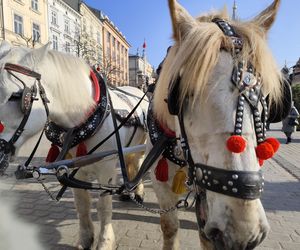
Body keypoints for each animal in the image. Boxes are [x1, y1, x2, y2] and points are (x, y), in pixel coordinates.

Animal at [0, 40, 149, 249]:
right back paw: (128, 192)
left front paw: (105, 242)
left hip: (142, 146)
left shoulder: (106, 167)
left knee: (139, 163)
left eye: (16, 96)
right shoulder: (72, 168)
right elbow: (82, 204)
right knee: (129, 163)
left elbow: (104, 207)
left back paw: (138, 191)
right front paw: (86, 239)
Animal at [150, 0, 284, 250]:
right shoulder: (161, 185)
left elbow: (204, 234)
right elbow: (170, 227)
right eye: (183, 95)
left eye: (262, 97)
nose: (244, 234)